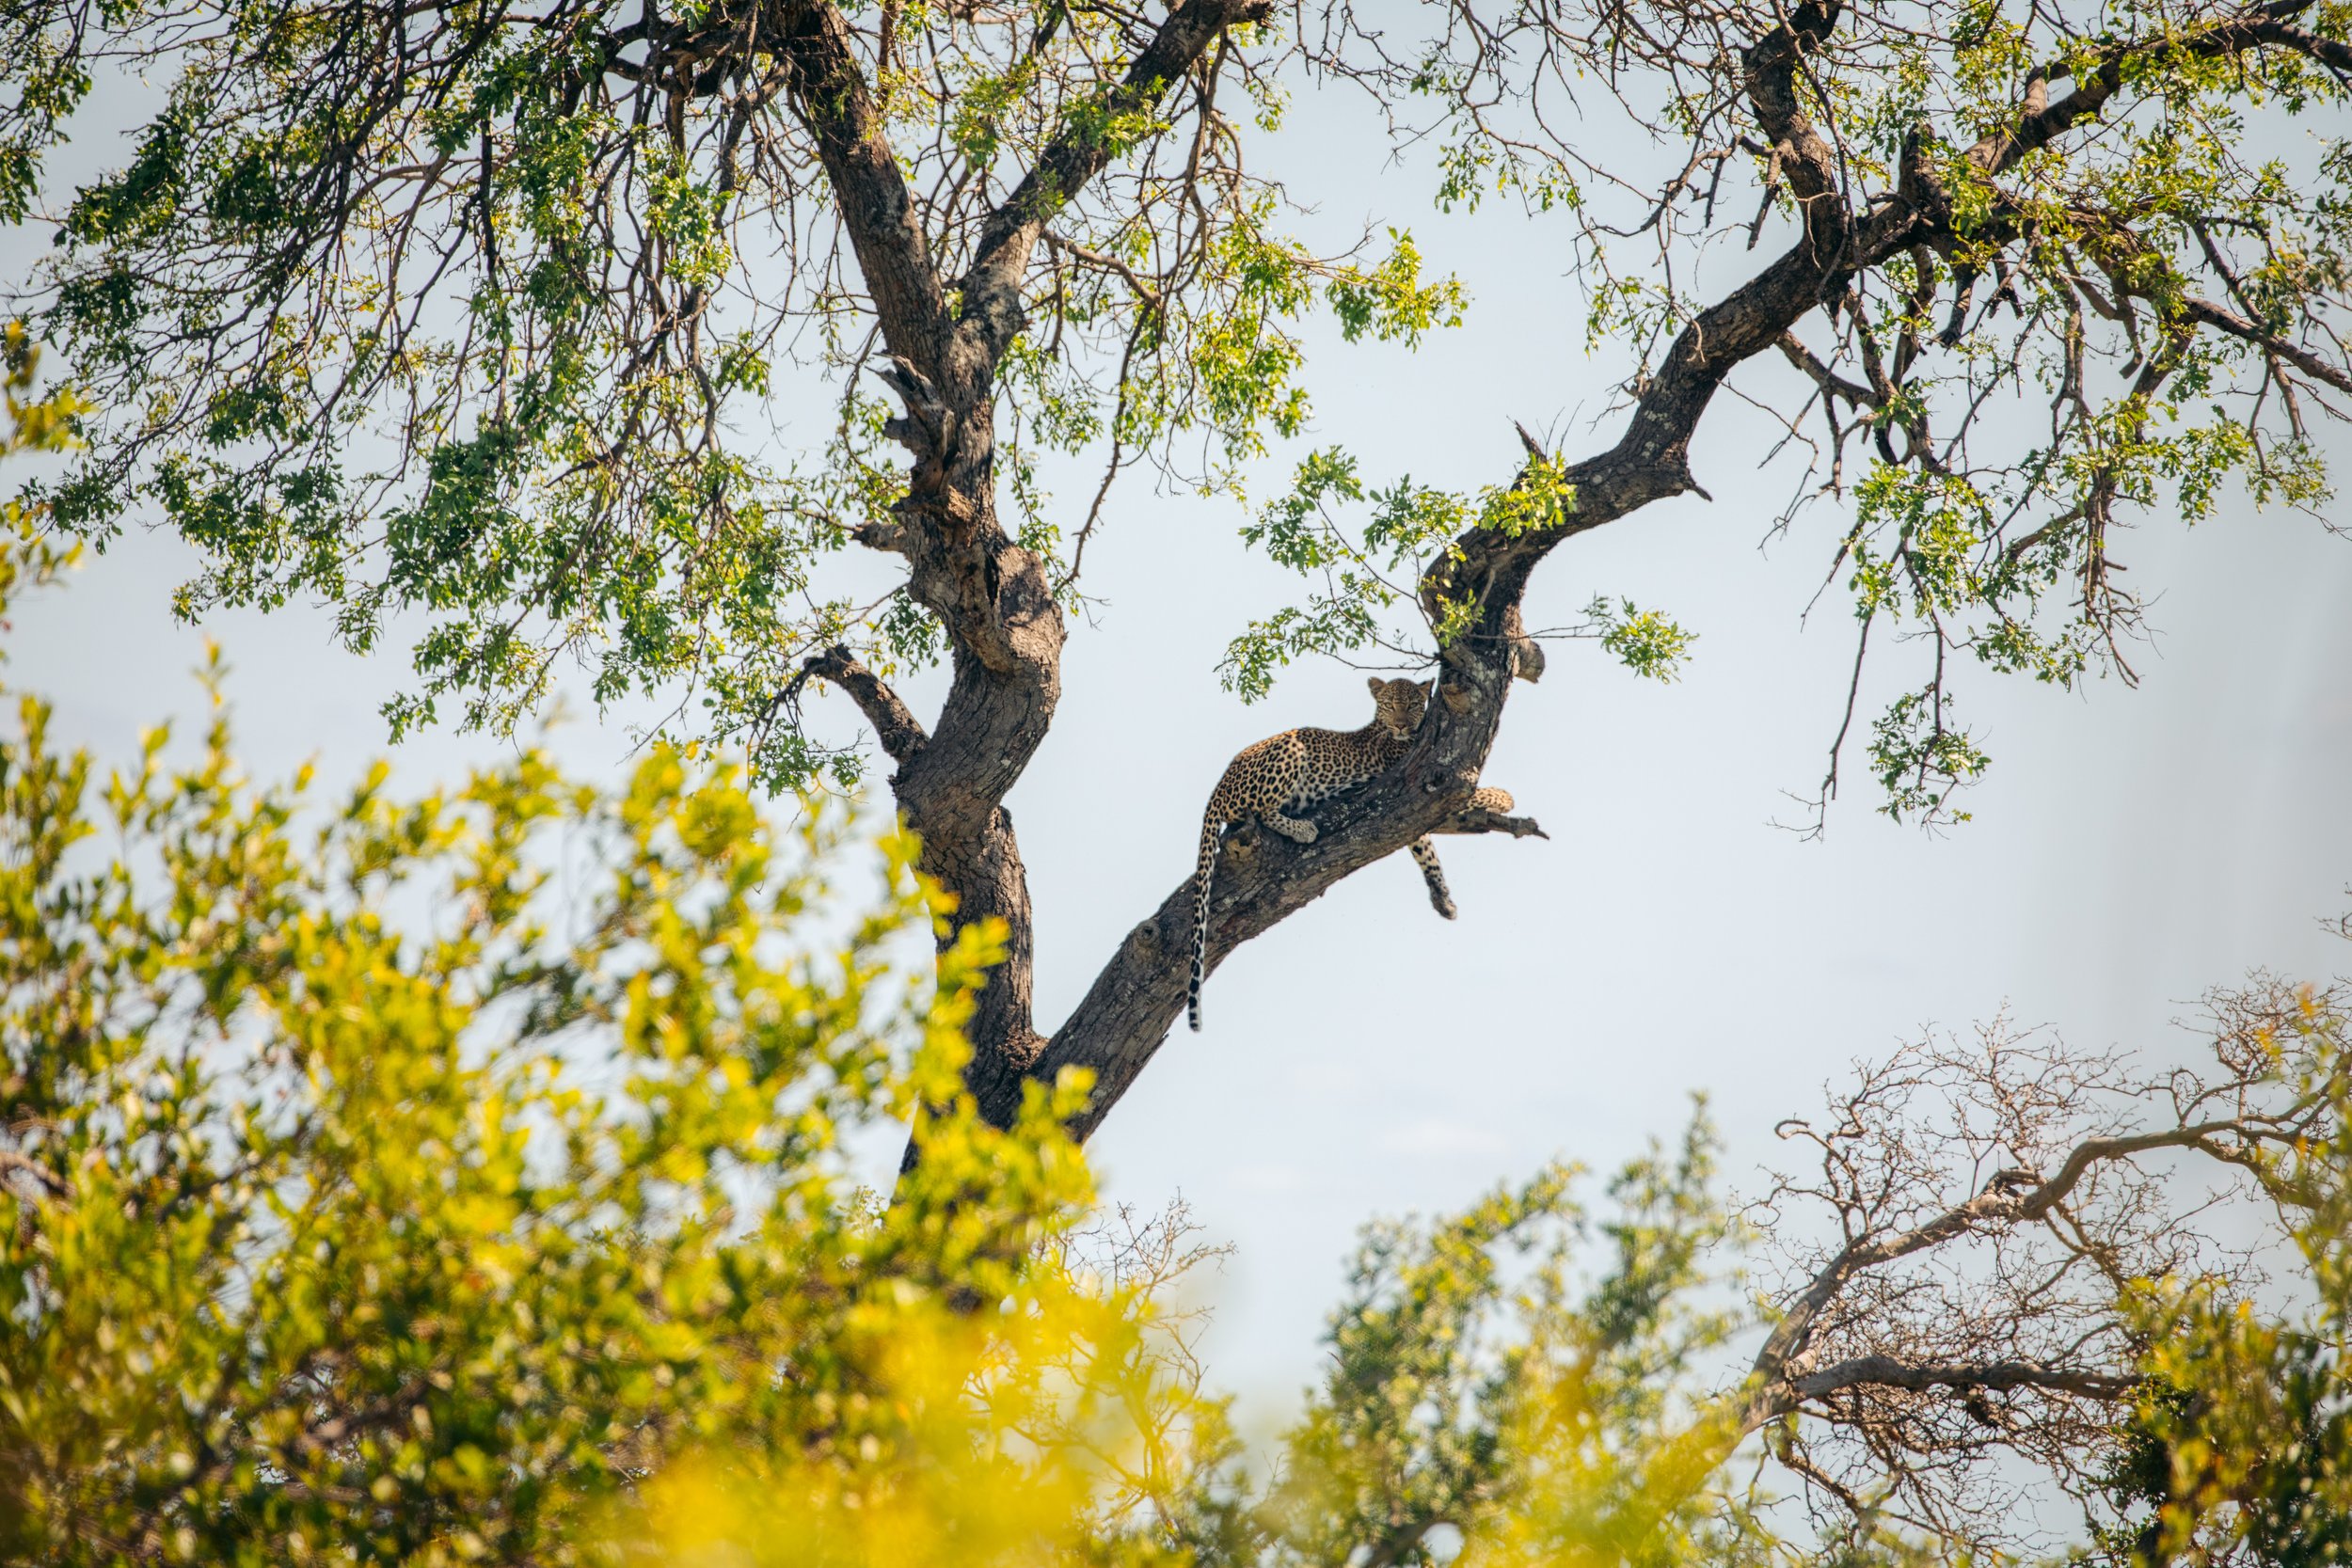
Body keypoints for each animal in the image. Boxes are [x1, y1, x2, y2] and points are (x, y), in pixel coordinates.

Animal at [1195, 676, 1505, 1029]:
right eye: (1390, 705)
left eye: (1413, 705)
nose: (1401, 724)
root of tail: (1217, 789)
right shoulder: (1430, 784)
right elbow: (1473, 793)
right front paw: (1505, 797)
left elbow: (1426, 850)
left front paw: (1443, 899)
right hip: (1289, 750)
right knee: (1260, 810)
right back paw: (1303, 829)